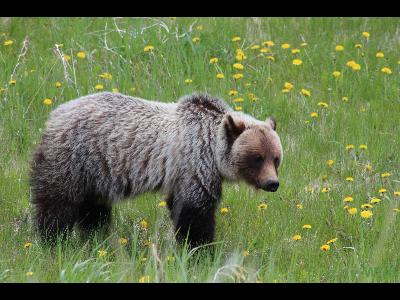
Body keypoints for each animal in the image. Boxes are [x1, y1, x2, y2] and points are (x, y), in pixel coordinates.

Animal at [30, 92, 282, 247]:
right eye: (257, 158)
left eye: (276, 158)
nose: (272, 183)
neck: (213, 147)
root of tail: (55, 114)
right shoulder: (194, 164)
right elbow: (195, 212)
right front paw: (201, 250)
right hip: (74, 158)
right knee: (57, 203)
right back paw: (52, 240)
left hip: (97, 173)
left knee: (94, 209)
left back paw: (95, 238)